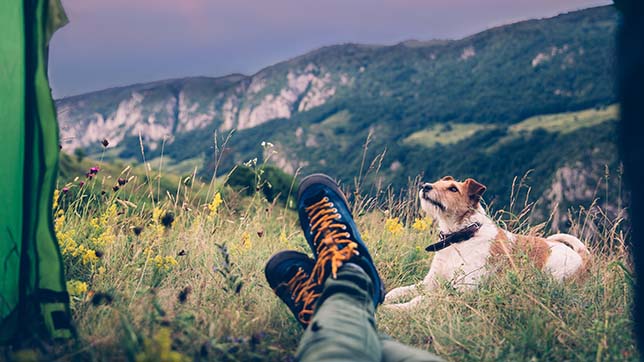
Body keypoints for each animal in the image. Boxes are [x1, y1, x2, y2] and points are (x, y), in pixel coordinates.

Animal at [382, 175, 588, 308]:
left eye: (453, 189)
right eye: (438, 182)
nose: (425, 186)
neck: (459, 237)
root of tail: (583, 258)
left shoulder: (463, 290)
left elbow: (421, 300)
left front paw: (392, 310)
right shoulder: (430, 282)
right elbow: (399, 291)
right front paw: (386, 298)